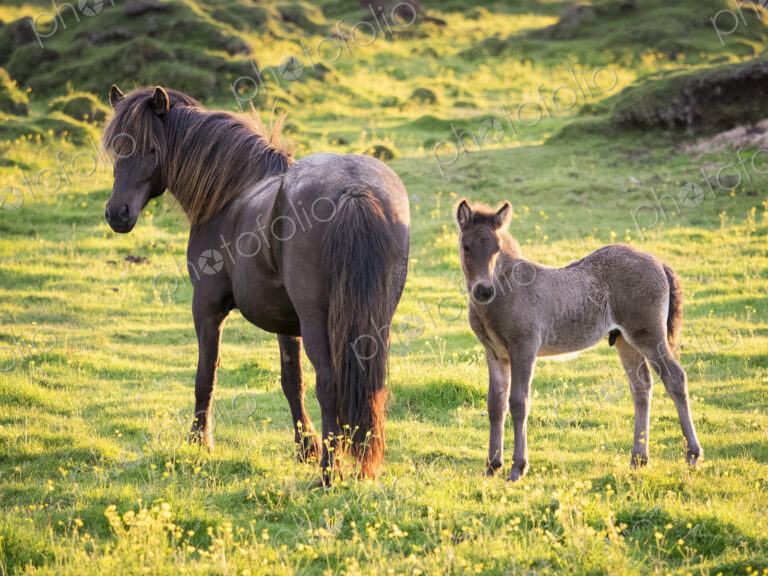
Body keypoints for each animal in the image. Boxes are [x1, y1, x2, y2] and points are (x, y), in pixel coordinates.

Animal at [102, 85, 410, 485]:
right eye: (117, 148)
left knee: (329, 383)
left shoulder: (206, 306)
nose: (117, 213)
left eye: (151, 149)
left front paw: (199, 444)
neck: (232, 193)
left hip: (318, 322)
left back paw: (329, 473)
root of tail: (354, 189)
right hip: (373, 319)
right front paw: (305, 447)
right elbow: (292, 381)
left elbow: (206, 375)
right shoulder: (286, 323)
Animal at [455, 199, 702, 482]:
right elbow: (495, 405)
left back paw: (692, 454)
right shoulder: (495, 354)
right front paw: (492, 466)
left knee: (675, 378)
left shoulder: (524, 349)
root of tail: (659, 262)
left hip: (649, 335)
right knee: (641, 386)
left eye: (496, 248)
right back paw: (639, 459)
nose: (484, 290)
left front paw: (518, 468)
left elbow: (518, 403)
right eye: (466, 246)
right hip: (625, 341)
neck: (506, 290)